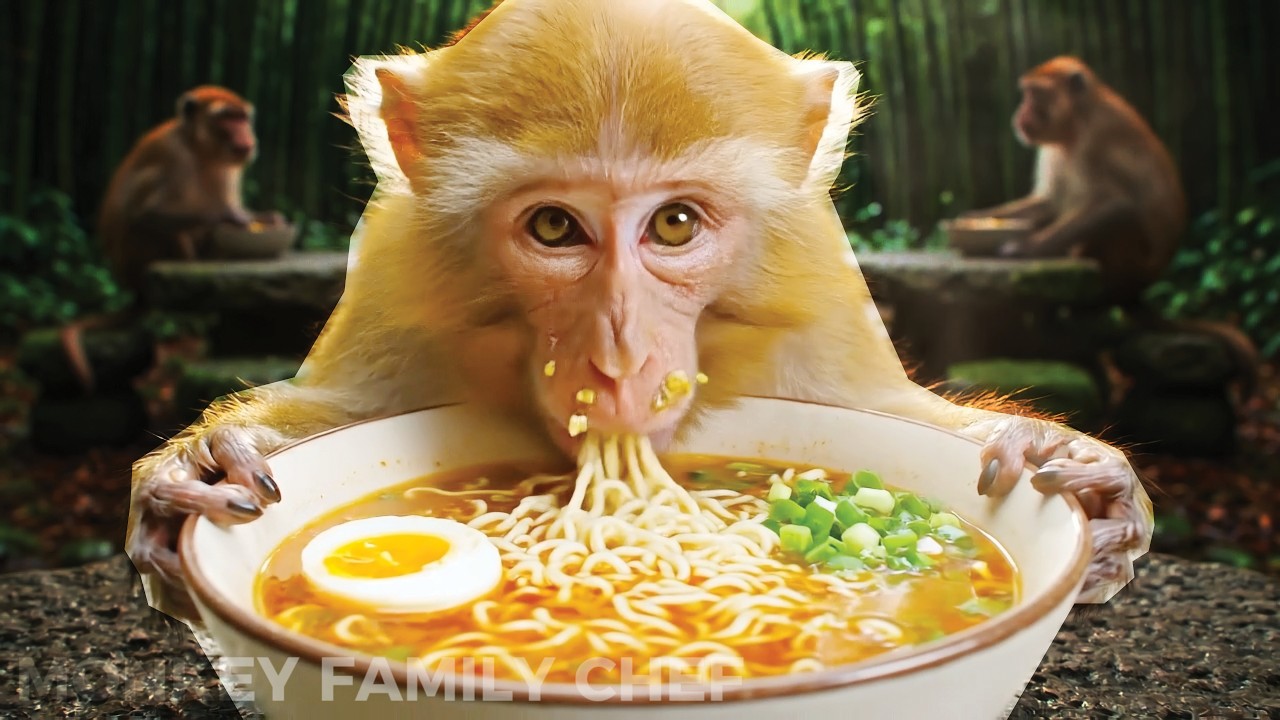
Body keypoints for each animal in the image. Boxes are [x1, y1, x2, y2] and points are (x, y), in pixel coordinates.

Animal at [124, 0, 1151, 622]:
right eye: (554, 226)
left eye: (674, 223)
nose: (617, 360)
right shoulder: (399, 289)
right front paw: (202, 463)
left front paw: (1067, 466)